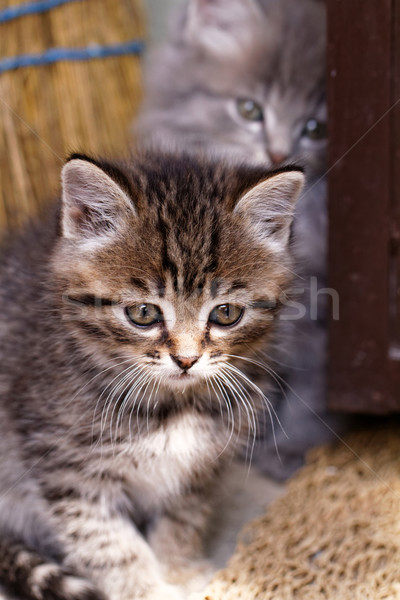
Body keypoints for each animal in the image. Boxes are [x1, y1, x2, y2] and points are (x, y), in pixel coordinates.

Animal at [0, 151, 304, 600]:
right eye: (143, 313)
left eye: (226, 313)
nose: (186, 359)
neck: (173, 406)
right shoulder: (68, 469)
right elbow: (108, 544)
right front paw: (143, 588)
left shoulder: (199, 467)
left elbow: (182, 519)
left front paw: (181, 571)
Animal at [135, 0, 346, 478]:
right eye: (249, 110)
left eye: (315, 128)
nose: (277, 153)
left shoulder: (320, 322)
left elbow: (309, 395)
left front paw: (286, 448)